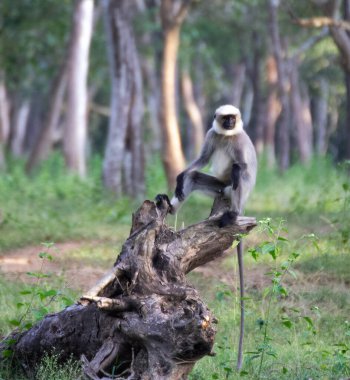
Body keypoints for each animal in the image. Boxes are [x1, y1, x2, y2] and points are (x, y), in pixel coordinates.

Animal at [170, 104, 258, 372]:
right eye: (225, 118)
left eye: (233, 119)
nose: (229, 123)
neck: (227, 136)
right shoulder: (212, 134)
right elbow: (201, 160)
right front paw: (179, 177)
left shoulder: (239, 140)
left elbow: (244, 166)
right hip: (218, 187)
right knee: (195, 177)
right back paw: (168, 205)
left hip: (233, 190)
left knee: (240, 173)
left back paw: (233, 214)